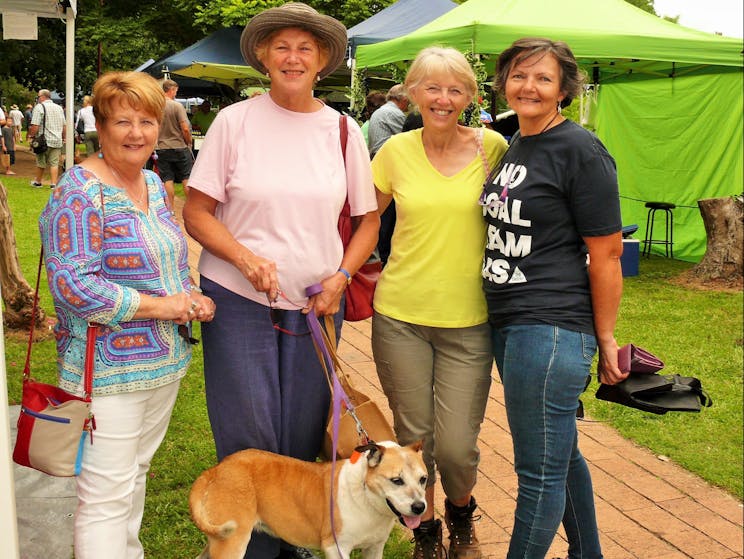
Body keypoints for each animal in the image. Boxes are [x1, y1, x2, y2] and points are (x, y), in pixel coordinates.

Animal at [189, 442, 428, 559]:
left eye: (423, 479)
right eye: (396, 480)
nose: (420, 507)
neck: (366, 498)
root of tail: (217, 470)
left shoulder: (374, 548)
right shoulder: (336, 548)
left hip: (219, 539)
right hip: (232, 542)